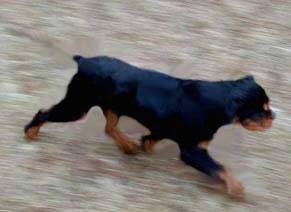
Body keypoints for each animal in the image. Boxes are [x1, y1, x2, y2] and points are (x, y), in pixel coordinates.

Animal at [25, 55, 276, 197]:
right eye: (260, 109)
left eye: (268, 106)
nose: (273, 116)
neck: (217, 101)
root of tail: (84, 61)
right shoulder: (193, 151)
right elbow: (220, 168)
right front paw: (236, 189)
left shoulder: (164, 129)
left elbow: (151, 138)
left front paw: (144, 145)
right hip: (76, 107)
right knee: (44, 113)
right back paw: (30, 133)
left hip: (112, 107)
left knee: (109, 128)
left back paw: (127, 146)